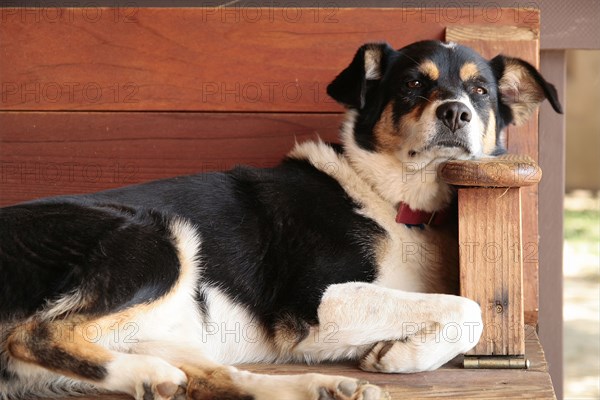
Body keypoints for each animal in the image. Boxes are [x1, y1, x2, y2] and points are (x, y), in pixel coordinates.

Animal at [0, 41, 564, 400]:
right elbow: (468, 306)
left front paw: (394, 352)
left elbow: (456, 307)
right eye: (411, 84)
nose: (455, 113)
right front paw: (402, 358)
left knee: (209, 379)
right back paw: (147, 373)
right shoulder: (315, 304)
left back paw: (320, 388)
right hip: (159, 238)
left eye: (482, 91)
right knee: (33, 334)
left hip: (169, 323)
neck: (393, 200)